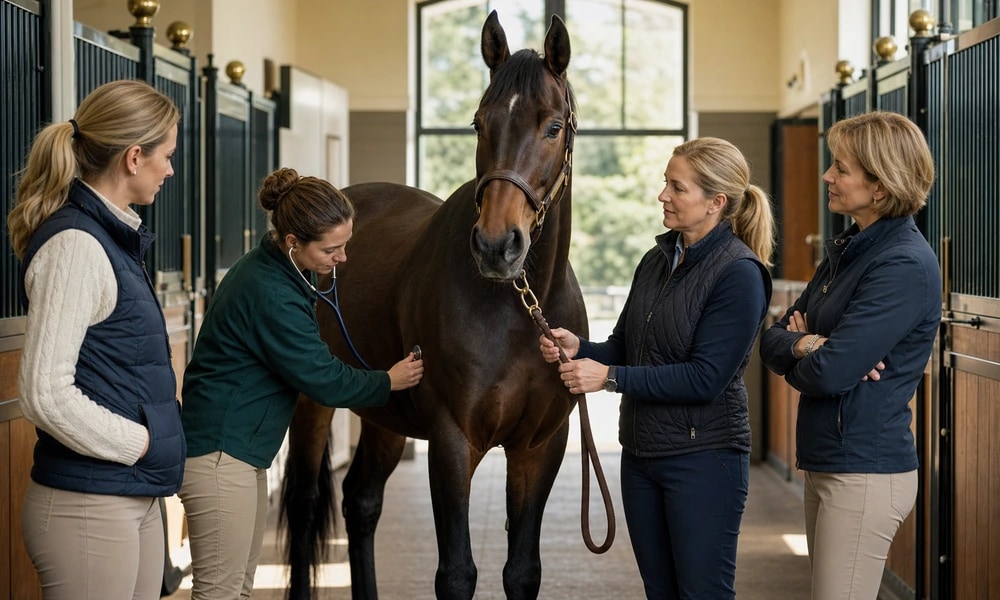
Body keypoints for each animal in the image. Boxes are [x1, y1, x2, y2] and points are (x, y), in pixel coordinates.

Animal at [280, 11, 588, 599]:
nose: (496, 245)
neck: (519, 309)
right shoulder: (451, 441)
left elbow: (522, 571)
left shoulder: (540, 446)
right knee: (305, 509)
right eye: (479, 123)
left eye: (553, 127)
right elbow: (456, 572)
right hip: (312, 404)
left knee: (361, 502)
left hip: (383, 411)